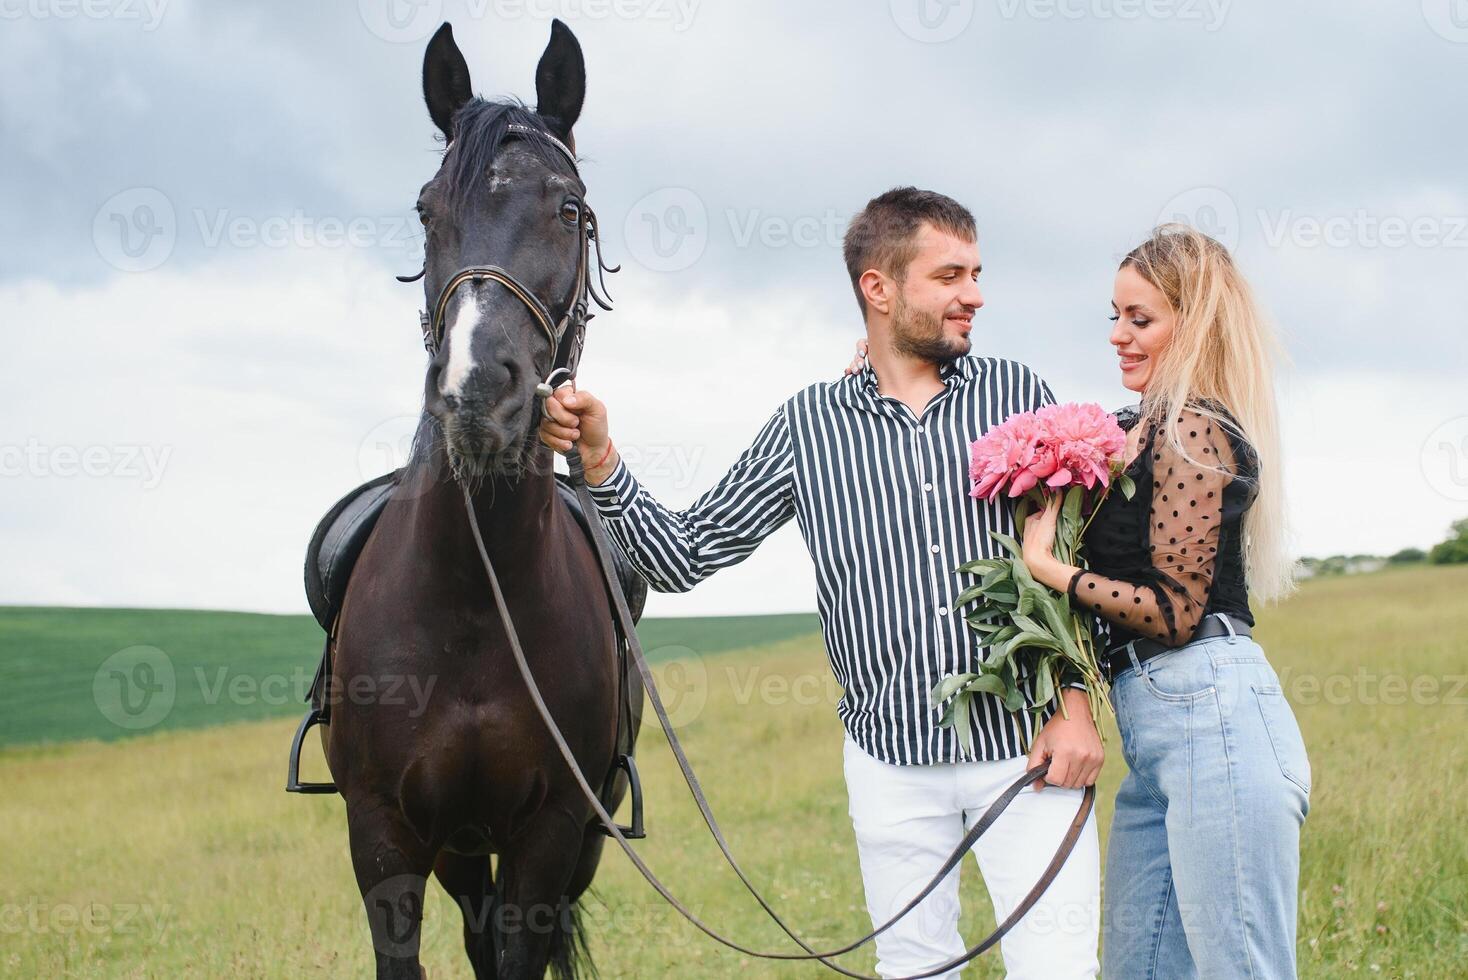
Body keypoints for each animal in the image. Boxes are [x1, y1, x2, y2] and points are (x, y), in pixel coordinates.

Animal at [318, 22, 640, 979]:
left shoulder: (552, 832)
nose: (474, 395)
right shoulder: (384, 832)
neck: (474, 590)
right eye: (428, 211)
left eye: (568, 208)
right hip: (458, 845)